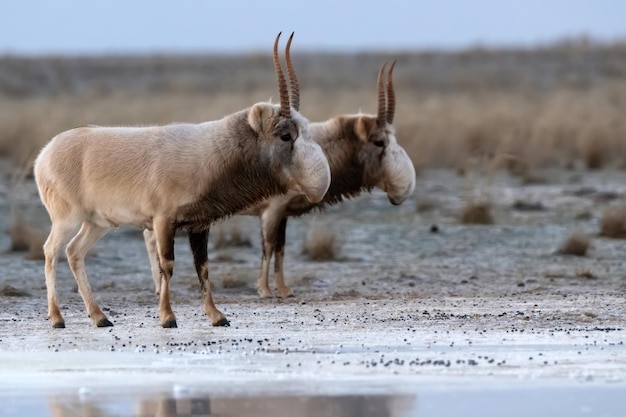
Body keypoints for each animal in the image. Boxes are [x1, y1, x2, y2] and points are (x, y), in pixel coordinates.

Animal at [143, 60, 412, 298]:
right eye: (379, 141)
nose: (404, 187)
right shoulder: (271, 211)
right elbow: (269, 247)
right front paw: (264, 290)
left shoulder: (283, 214)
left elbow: (281, 249)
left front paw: (283, 289)